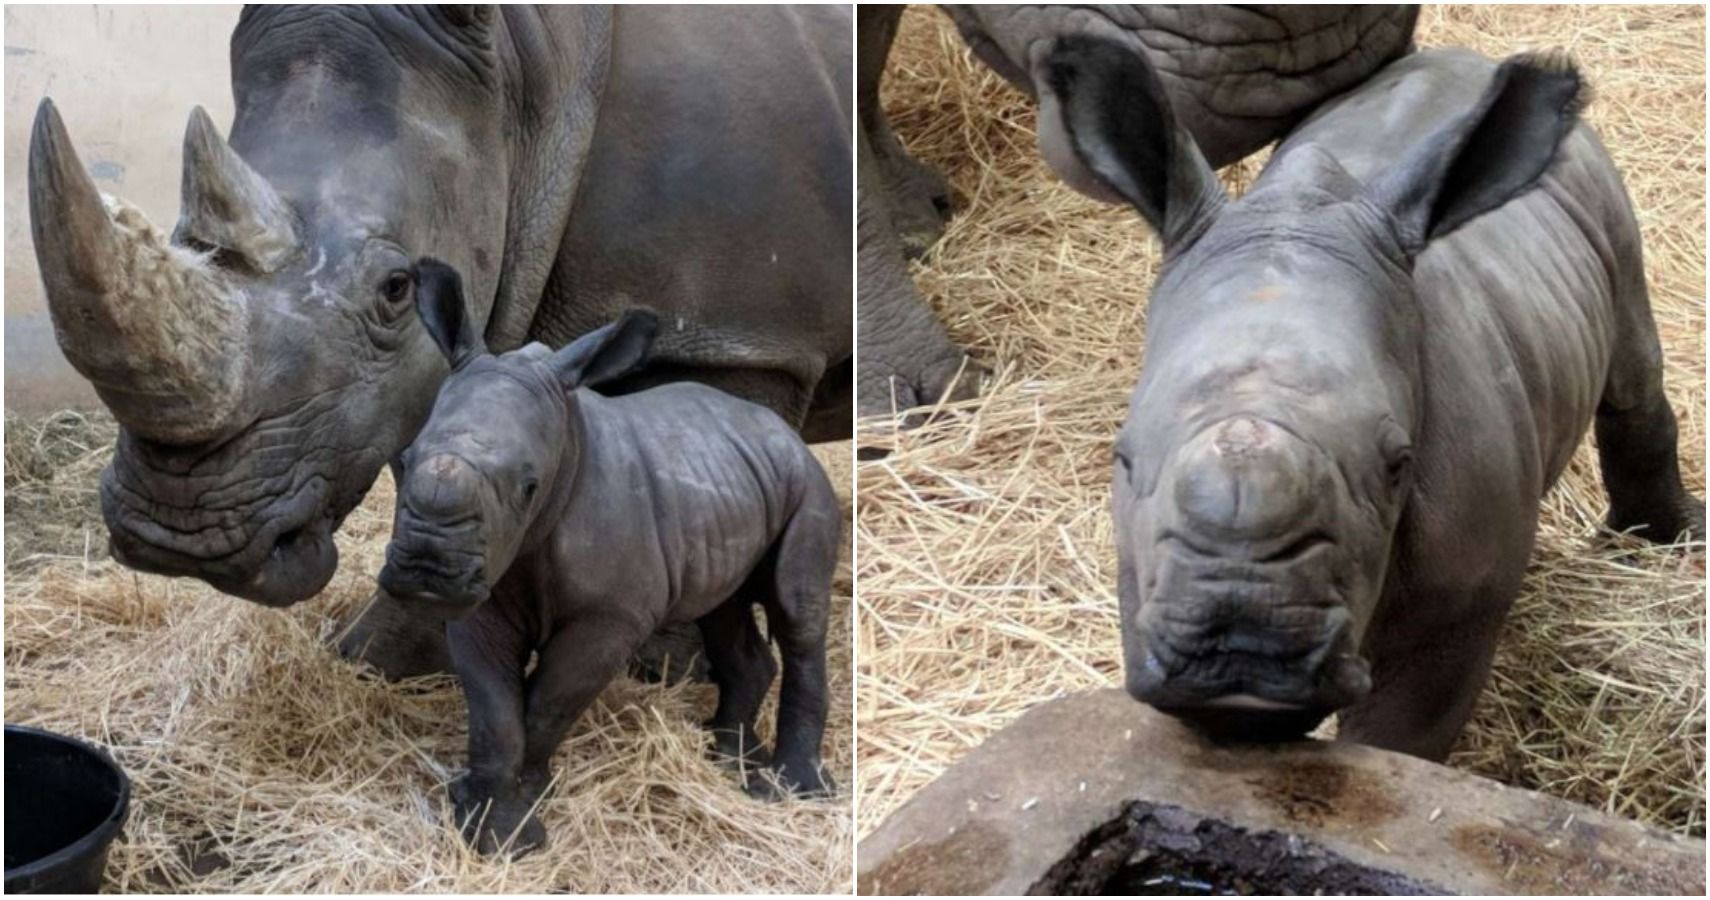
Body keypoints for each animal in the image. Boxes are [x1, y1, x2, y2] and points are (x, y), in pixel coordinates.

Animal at [23, 5, 851, 677]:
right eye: (178, 240)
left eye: (396, 288)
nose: (176, 537)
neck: (524, 78)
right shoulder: (441, 353)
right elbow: (433, 467)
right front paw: (379, 661)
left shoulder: (738, 334)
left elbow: (700, 461)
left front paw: (665, 669)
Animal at [377, 260, 837, 855]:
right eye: (405, 459)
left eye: (529, 486)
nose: (427, 565)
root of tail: (785, 433)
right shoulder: (482, 601)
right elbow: (495, 713)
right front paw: (491, 828)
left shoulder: (611, 617)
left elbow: (548, 702)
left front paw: (526, 805)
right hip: (727, 477)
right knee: (723, 606)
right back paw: (728, 756)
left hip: (809, 483)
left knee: (796, 611)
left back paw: (789, 788)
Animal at [1046, 37, 1703, 763]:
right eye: (1124, 458)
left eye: (1397, 465)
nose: (1240, 644)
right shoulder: (1143, 587)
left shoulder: (1455, 609)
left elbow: (1398, 743)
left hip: (1599, 190)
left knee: (1631, 357)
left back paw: (1657, 543)